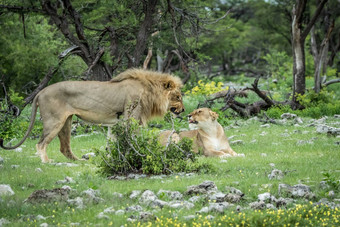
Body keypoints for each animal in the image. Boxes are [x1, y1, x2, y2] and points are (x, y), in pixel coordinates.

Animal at [0, 68, 183, 162]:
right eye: (178, 97)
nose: (183, 110)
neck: (150, 91)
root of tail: (40, 91)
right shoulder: (131, 119)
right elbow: (133, 140)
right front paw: (136, 153)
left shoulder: (116, 122)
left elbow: (112, 141)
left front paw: (112, 156)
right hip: (54, 121)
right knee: (41, 143)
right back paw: (46, 161)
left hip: (66, 122)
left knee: (64, 147)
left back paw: (79, 161)